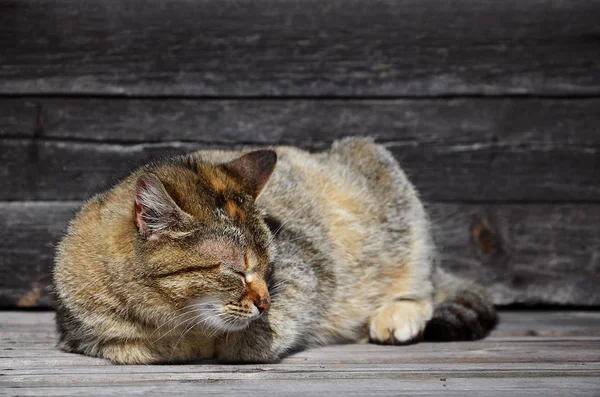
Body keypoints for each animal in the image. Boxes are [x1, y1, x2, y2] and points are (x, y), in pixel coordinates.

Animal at [54, 137, 496, 362]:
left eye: (269, 269)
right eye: (237, 270)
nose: (265, 301)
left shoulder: (307, 272)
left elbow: (263, 332)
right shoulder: (89, 333)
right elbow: (135, 347)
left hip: (393, 193)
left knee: (424, 286)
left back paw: (397, 314)